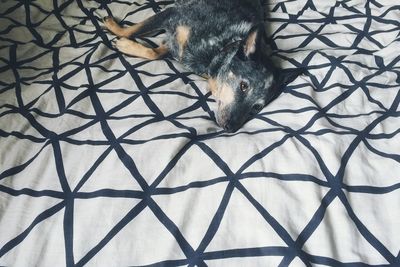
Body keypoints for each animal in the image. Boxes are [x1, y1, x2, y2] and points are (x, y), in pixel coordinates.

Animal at [103, 0, 296, 133]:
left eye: (257, 107)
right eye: (243, 86)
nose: (230, 128)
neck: (219, 46)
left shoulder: (177, 45)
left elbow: (156, 53)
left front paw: (127, 45)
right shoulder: (173, 15)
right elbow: (133, 30)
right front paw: (115, 28)